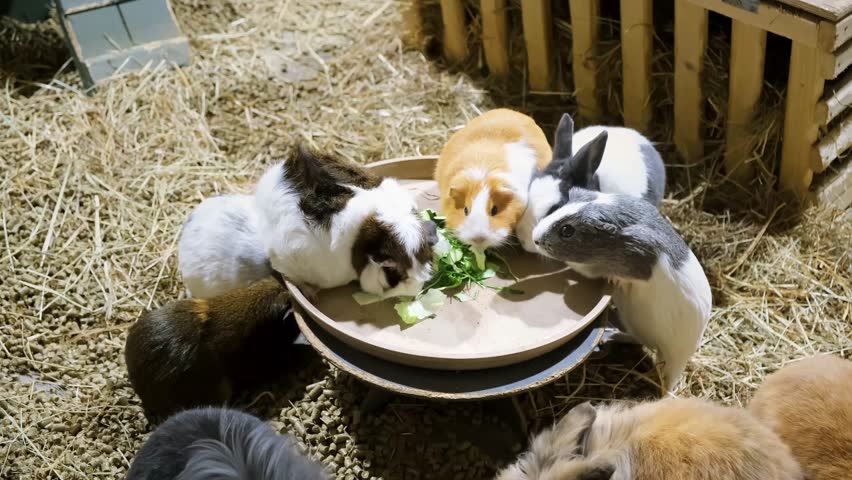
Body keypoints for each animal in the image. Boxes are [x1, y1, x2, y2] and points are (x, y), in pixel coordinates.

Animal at [531, 188, 712, 392]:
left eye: (567, 230)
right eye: (558, 208)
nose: (534, 238)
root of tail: (682, 356)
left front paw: (613, 279)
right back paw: (611, 335)